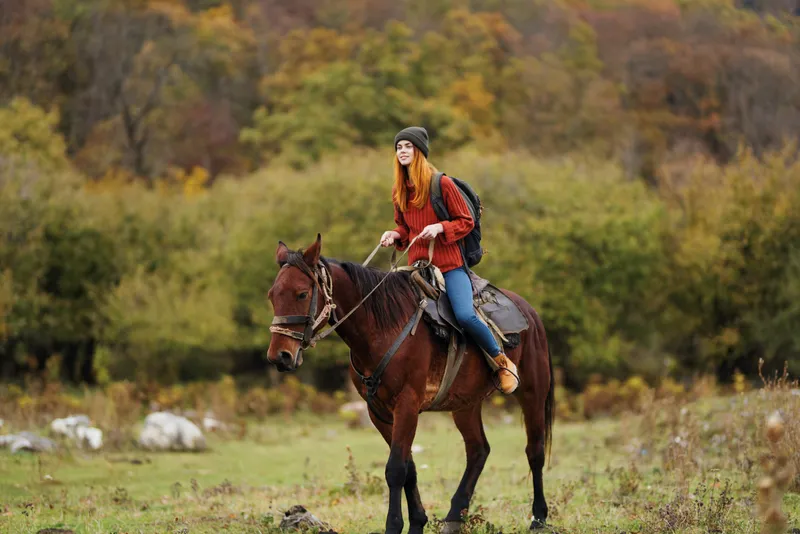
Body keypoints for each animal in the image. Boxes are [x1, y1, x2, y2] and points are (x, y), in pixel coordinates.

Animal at [266, 234, 554, 533]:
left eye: (302, 293)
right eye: (272, 295)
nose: (280, 356)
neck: (382, 328)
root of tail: (530, 313)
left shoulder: (407, 404)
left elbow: (395, 469)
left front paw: (394, 524)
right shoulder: (378, 412)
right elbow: (409, 468)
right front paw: (418, 522)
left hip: (533, 393)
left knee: (534, 451)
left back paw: (538, 518)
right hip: (465, 405)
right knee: (478, 450)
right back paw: (454, 516)